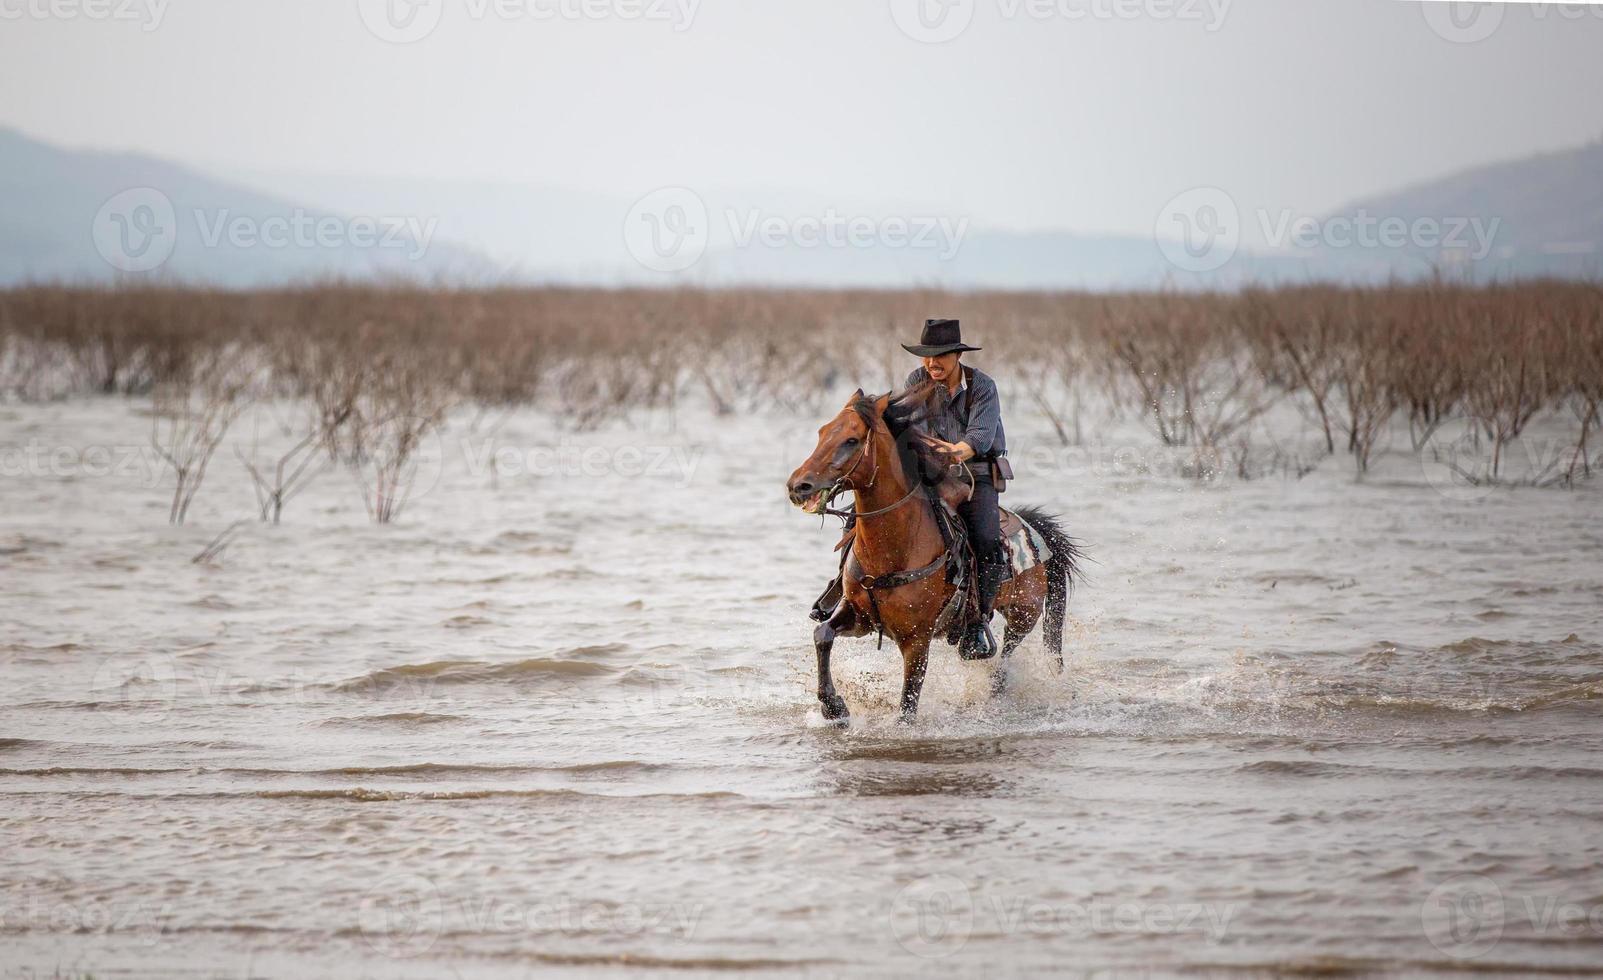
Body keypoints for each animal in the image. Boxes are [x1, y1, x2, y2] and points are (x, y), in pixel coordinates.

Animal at [785, 386, 1083, 724]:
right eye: (822, 432)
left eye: (852, 440)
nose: (798, 486)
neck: (891, 551)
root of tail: (1036, 532)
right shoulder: (858, 616)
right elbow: (822, 634)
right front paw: (833, 707)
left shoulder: (917, 640)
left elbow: (908, 704)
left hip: (1023, 615)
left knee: (1005, 659)